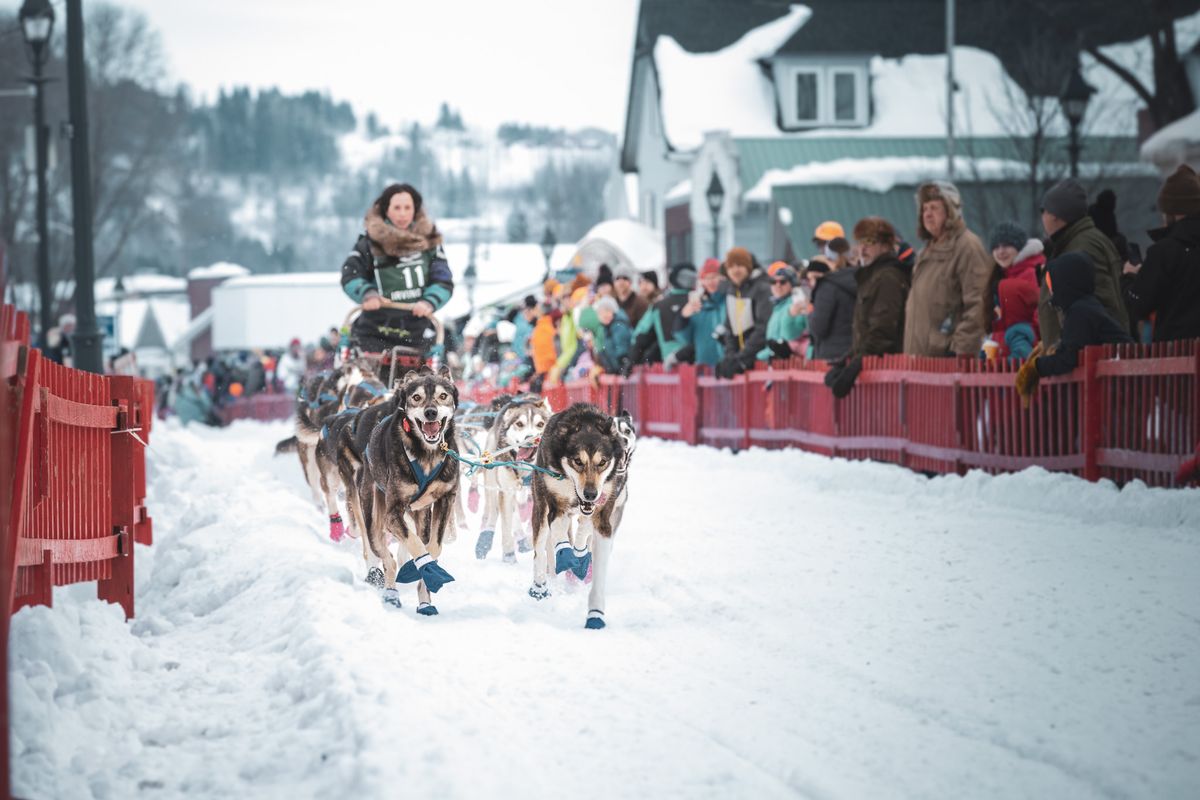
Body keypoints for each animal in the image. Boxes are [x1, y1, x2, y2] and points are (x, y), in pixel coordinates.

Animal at [355, 367, 458, 618]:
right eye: (416, 397)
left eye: (443, 396)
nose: (430, 412)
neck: (427, 454)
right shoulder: (393, 513)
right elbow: (415, 544)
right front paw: (423, 569)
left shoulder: (446, 500)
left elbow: (433, 546)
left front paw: (426, 583)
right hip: (373, 520)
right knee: (387, 558)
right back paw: (391, 593)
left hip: (421, 516)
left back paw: (424, 602)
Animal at [475, 393, 554, 563]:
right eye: (519, 424)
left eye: (540, 424)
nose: (530, 437)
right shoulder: (506, 490)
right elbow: (506, 523)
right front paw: (509, 555)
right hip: (492, 479)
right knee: (493, 510)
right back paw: (485, 539)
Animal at [530, 402, 633, 628]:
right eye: (577, 461)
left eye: (602, 462)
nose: (590, 494)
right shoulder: (556, 506)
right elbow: (560, 540)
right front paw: (565, 557)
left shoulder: (603, 518)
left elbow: (598, 566)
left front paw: (595, 613)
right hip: (540, 509)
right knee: (539, 550)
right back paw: (539, 586)